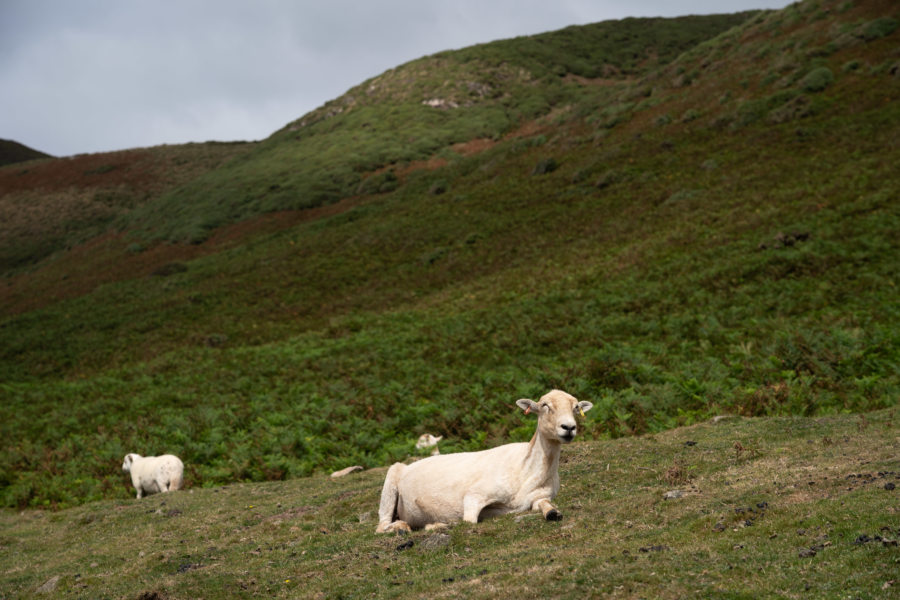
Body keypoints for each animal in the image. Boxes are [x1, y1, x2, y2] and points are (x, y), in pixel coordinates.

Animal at [375, 389, 592, 533]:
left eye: (575, 408)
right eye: (545, 406)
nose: (569, 427)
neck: (526, 469)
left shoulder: (539, 497)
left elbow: (548, 507)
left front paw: (553, 513)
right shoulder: (475, 495)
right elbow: (469, 521)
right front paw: (438, 524)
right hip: (391, 479)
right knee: (381, 525)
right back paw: (402, 527)